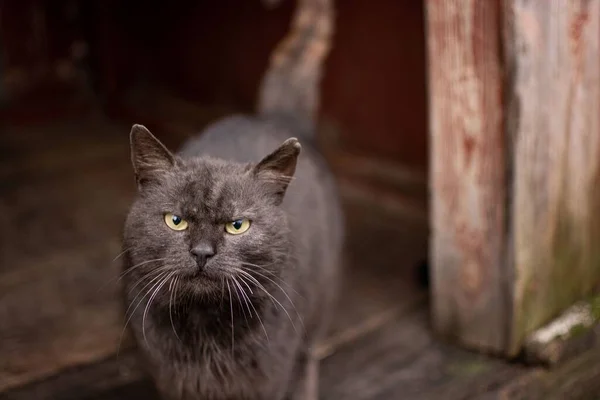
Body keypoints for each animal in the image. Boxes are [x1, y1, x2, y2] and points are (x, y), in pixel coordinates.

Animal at [120, 0, 342, 396]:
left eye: (238, 225)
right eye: (175, 221)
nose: (202, 252)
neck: (204, 329)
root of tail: (276, 118)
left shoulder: (268, 380)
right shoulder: (169, 378)